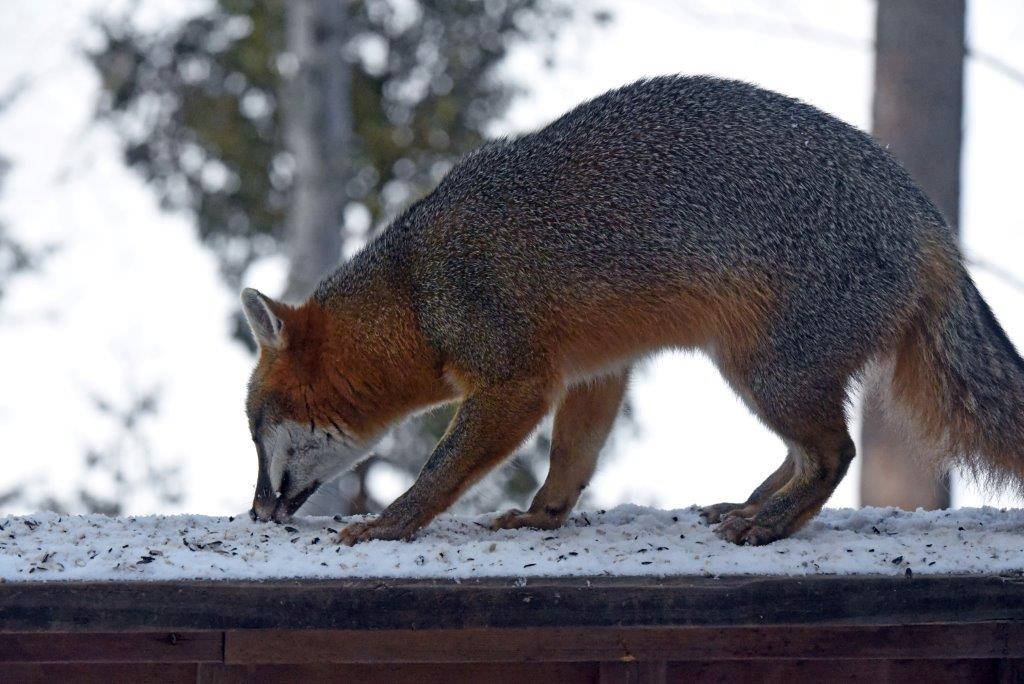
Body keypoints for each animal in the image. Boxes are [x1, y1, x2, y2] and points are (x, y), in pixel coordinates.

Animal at [242, 75, 1024, 547]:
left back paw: (768, 525)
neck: (413, 288)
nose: (254, 511)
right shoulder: (592, 373)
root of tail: (926, 218)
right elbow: (570, 460)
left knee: (836, 454)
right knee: (806, 453)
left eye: (257, 434)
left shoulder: (516, 383)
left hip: (766, 373)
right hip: (768, 376)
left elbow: (441, 470)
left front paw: (390, 523)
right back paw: (751, 505)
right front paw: (542, 516)